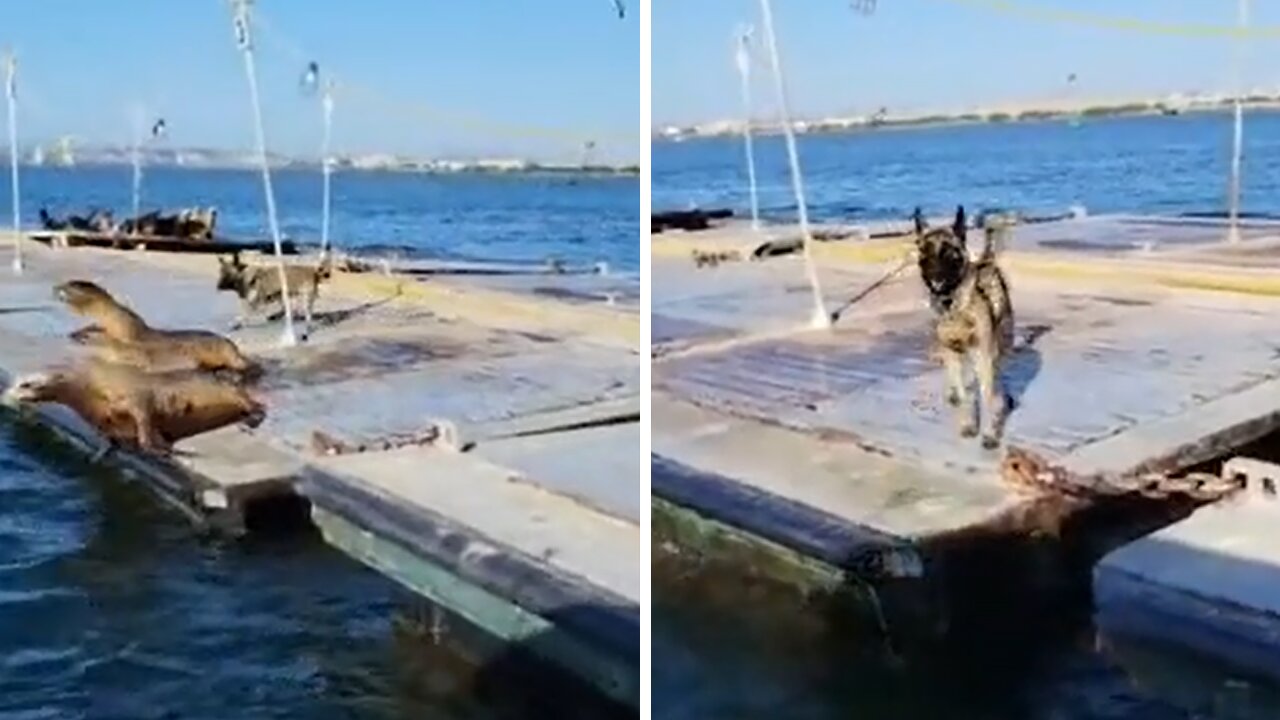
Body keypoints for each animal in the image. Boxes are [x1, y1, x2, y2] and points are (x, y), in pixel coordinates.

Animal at [916, 204, 1013, 445]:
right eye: (925, 251)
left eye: (948, 251)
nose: (935, 276)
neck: (953, 303)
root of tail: (987, 261)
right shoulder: (951, 352)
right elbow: (964, 393)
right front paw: (968, 423)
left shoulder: (984, 354)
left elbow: (987, 396)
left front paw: (990, 433)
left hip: (999, 344)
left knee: (997, 376)